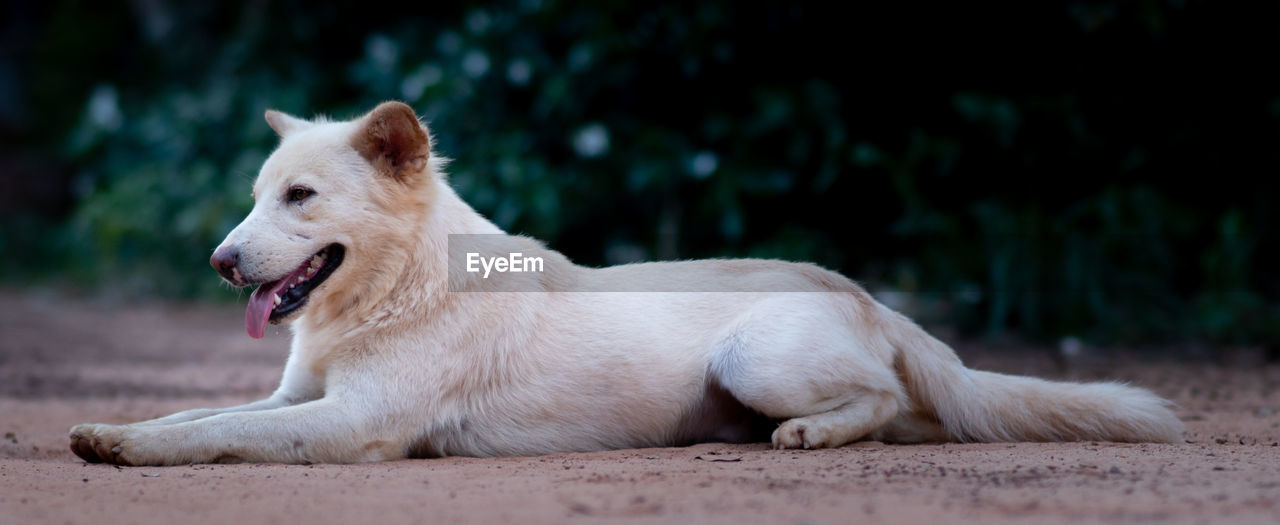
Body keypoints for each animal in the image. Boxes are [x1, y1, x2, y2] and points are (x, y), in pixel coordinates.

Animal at [70, 100, 1182, 466]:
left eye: (300, 197)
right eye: (257, 198)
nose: (220, 260)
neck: (400, 285)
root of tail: (862, 291)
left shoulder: (354, 425)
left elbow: (215, 433)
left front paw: (132, 449)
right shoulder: (296, 398)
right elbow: (196, 414)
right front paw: (113, 431)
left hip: (756, 356)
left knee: (877, 399)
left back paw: (810, 434)